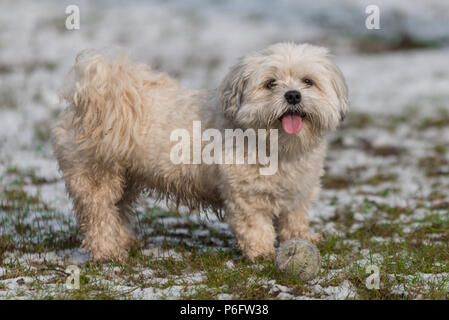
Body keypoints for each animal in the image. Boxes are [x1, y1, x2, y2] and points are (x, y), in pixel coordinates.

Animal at [51, 42, 346, 262]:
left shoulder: (298, 192)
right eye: (270, 83)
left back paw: (125, 241)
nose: (293, 95)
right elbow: (255, 226)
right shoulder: (245, 197)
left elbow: (294, 219)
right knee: (98, 214)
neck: (277, 145)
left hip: (125, 177)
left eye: (308, 81)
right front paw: (261, 253)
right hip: (95, 176)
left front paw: (303, 239)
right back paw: (108, 252)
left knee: (118, 209)